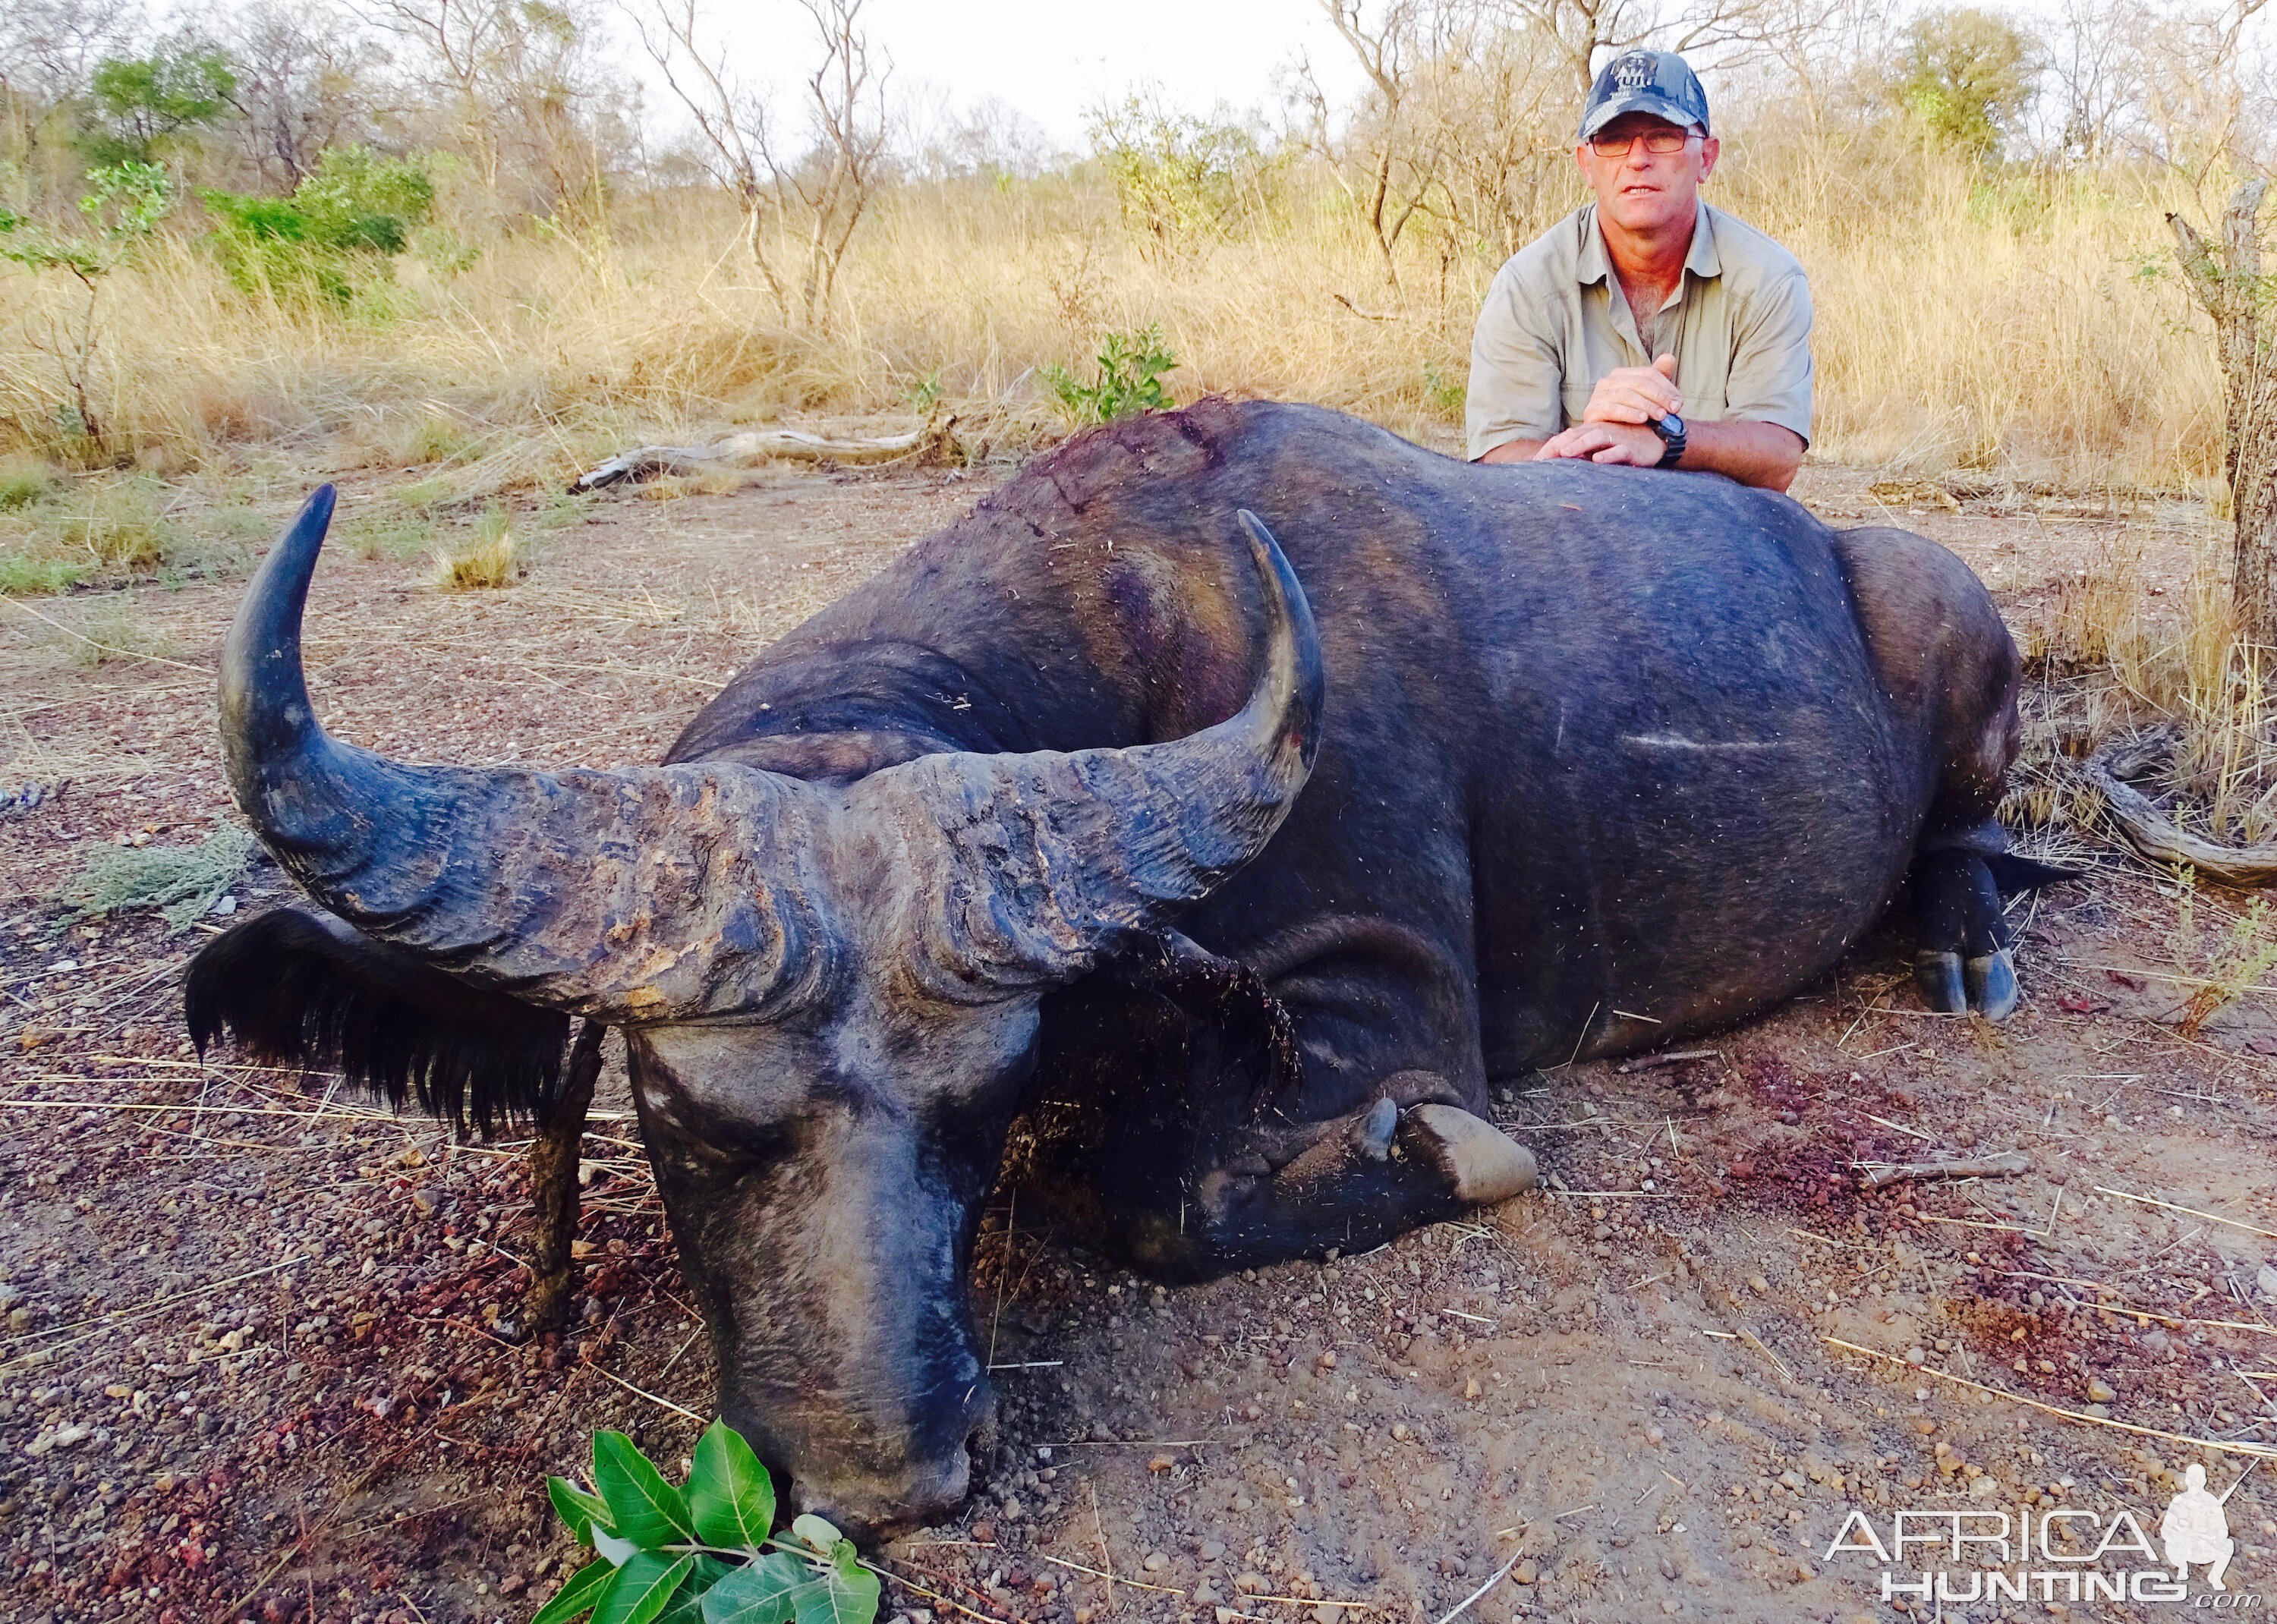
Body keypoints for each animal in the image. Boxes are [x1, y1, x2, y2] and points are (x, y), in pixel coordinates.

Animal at [187, 396, 2058, 1530]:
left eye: (987, 1104)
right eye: (676, 1114)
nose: (888, 1478)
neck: (1136, 621)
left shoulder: (1379, 988)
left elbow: (1173, 1192)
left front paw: (1445, 1154)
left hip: (1956, 639)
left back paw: (1969, 941)